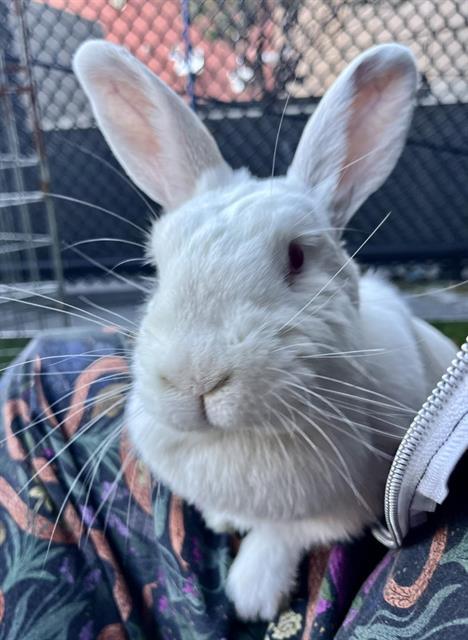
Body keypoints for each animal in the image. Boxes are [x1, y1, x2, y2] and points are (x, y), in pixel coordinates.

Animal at [73, 40, 457, 620]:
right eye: (157, 267)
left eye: (297, 257)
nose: (196, 380)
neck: (240, 439)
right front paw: (222, 519)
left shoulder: (347, 506)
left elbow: (285, 534)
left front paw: (251, 593)